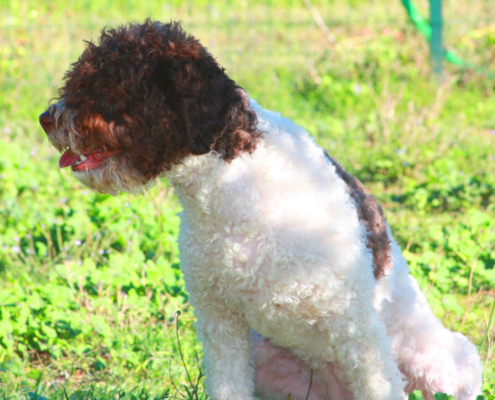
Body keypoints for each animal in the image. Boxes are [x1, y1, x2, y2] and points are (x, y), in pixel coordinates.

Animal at [40, 19, 482, 400]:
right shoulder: (221, 324)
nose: (46, 118)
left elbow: (380, 387)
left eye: (107, 87)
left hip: (445, 362)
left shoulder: (356, 329)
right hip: (269, 360)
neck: (232, 184)